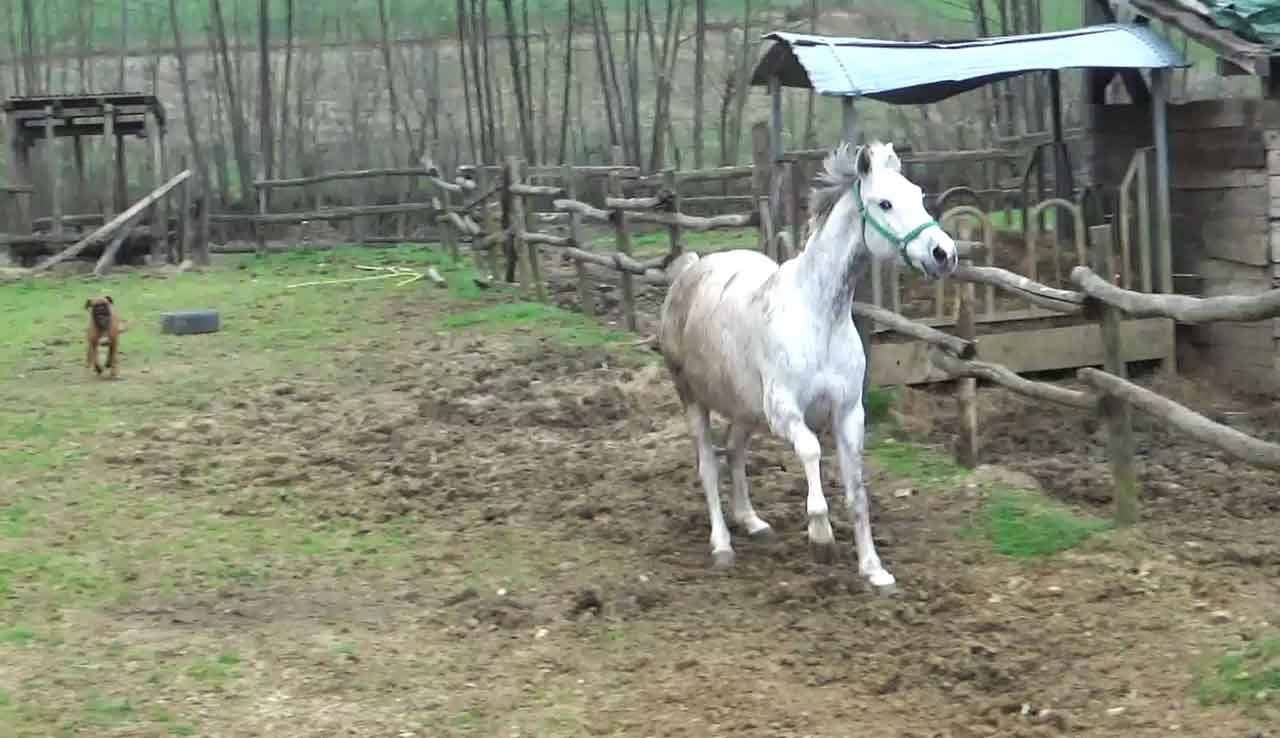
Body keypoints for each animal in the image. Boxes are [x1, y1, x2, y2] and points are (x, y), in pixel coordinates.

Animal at [658, 140, 959, 594]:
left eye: (919, 196)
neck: (819, 316)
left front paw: (874, 570)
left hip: (745, 408)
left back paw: (753, 523)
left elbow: (857, 492)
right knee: (709, 466)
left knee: (735, 452)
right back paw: (722, 545)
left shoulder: (849, 413)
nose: (944, 254)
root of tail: (690, 269)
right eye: (884, 203)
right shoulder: (785, 412)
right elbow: (812, 450)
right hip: (693, 400)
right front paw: (821, 536)